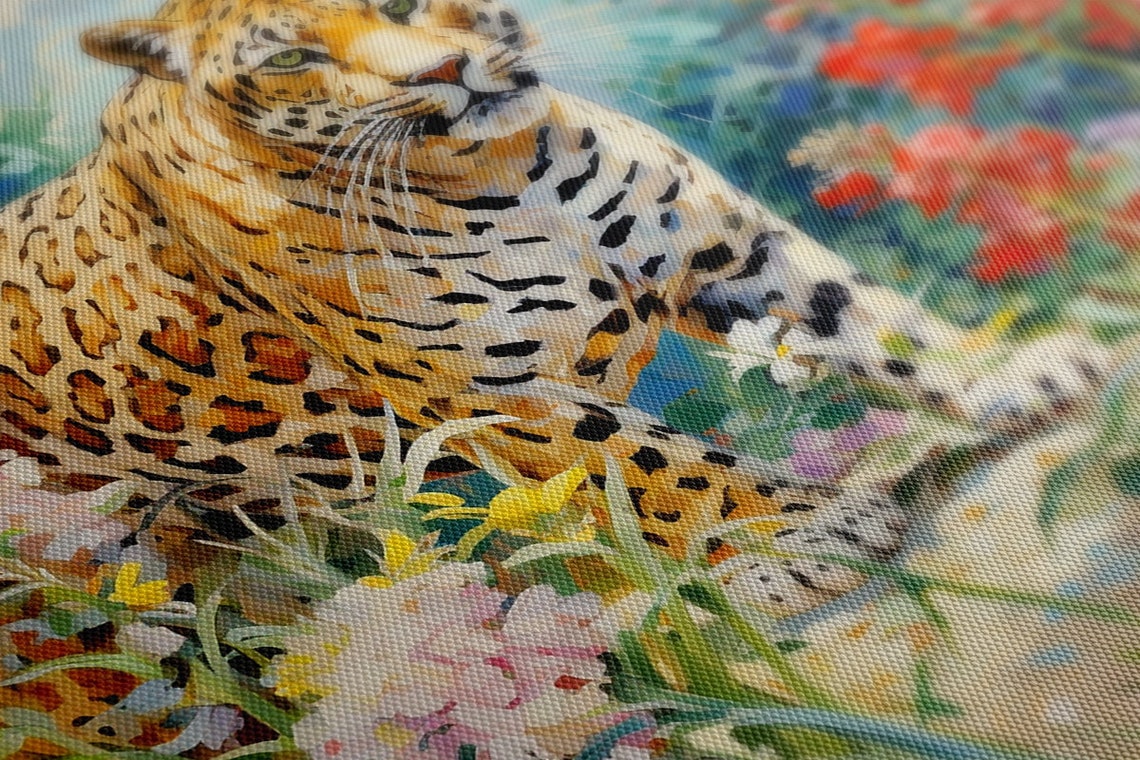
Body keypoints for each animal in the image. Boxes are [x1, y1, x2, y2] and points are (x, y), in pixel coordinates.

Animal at [0, 0, 1113, 616]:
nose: (442, 72)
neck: (503, 169)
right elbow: (668, 469)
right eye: (288, 60)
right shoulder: (492, 394)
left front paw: (1012, 371)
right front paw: (805, 538)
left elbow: (862, 318)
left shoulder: (733, 252)